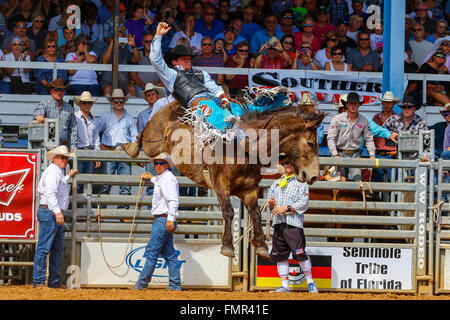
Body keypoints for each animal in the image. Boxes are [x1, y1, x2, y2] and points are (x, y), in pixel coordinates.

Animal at [123, 87, 324, 260]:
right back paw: (129, 146)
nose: (314, 175)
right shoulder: (220, 184)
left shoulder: (250, 189)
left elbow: (255, 213)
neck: (245, 147)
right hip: (153, 140)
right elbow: (228, 211)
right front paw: (227, 246)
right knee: (142, 136)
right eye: (311, 143)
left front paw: (261, 246)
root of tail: (170, 105)